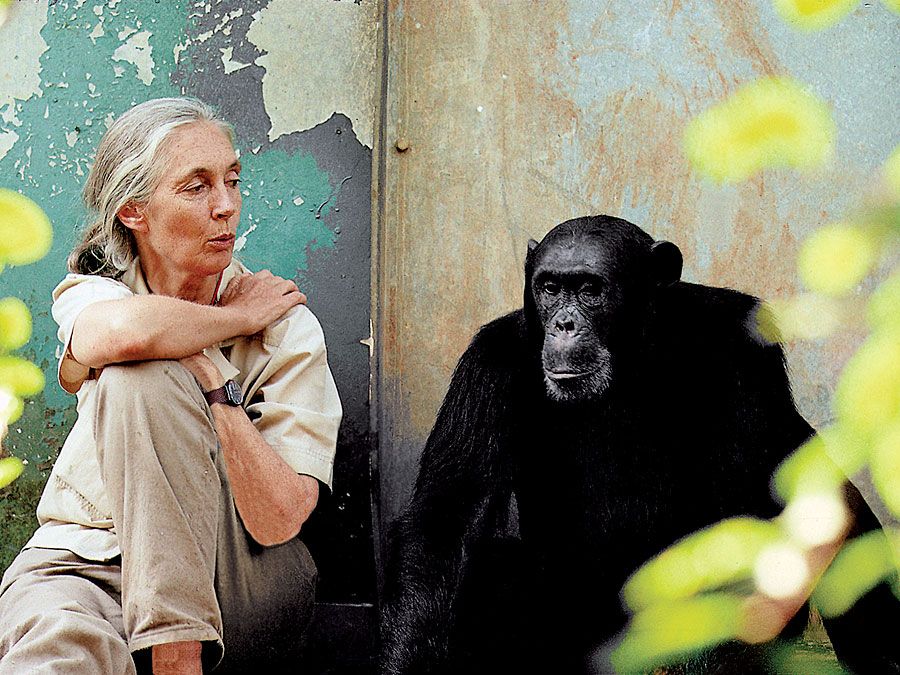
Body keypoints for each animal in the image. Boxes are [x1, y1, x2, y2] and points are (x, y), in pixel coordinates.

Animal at [382, 217, 900, 675]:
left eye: (590, 290)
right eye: (549, 288)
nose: (564, 324)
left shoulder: (744, 347)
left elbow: (753, 504)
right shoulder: (486, 367)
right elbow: (449, 519)